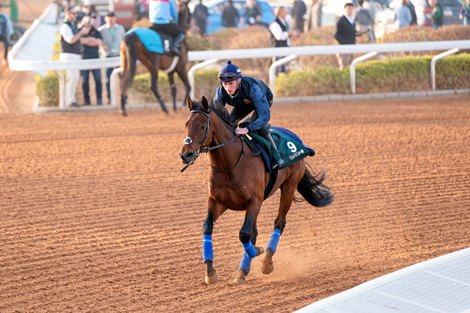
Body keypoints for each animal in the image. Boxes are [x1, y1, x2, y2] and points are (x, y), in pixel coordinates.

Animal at [180, 96, 334, 284]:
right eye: (187, 124)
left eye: (203, 126)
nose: (186, 155)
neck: (230, 164)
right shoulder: (217, 201)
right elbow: (208, 227)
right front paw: (210, 273)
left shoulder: (254, 201)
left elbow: (245, 234)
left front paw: (258, 253)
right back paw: (244, 270)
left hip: (289, 187)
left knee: (279, 222)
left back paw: (266, 262)